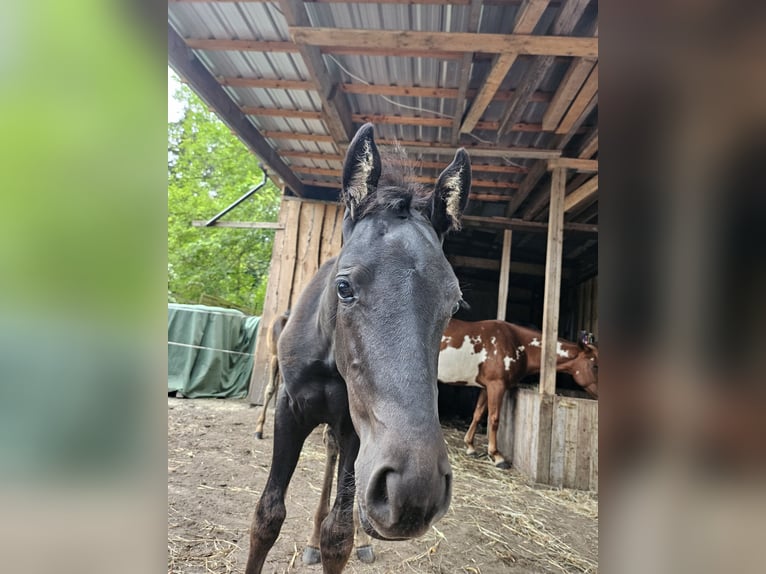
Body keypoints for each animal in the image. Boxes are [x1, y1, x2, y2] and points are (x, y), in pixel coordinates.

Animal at [248, 126, 474, 574]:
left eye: (454, 304)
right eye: (344, 286)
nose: (416, 489)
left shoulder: (355, 430)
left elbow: (339, 535)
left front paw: (340, 539)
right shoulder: (290, 408)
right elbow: (267, 517)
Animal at [438, 320, 600, 468]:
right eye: (595, 366)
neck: (516, 344)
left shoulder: (486, 387)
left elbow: (478, 414)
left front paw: (470, 447)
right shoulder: (496, 386)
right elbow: (494, 419)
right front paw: (497, 456)